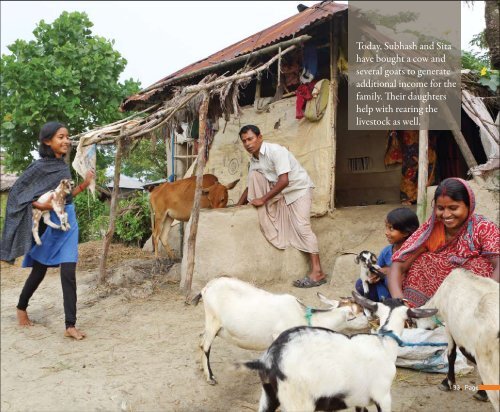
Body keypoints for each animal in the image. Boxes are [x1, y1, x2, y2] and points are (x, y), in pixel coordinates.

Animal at [190, 276, 368, 386]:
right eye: (362, 312)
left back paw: (201, 369)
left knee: (200, 340)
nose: (372, 321)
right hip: (213, 320)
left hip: (213, 324)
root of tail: (206, 288)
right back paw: (210, 377)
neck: (303, 316)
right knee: (205, 346)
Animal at [238, 290, 438, 412]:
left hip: (269, 397)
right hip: (298, 403)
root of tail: (269, 360)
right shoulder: (383, 396)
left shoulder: (359, 399)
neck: (383, 343)